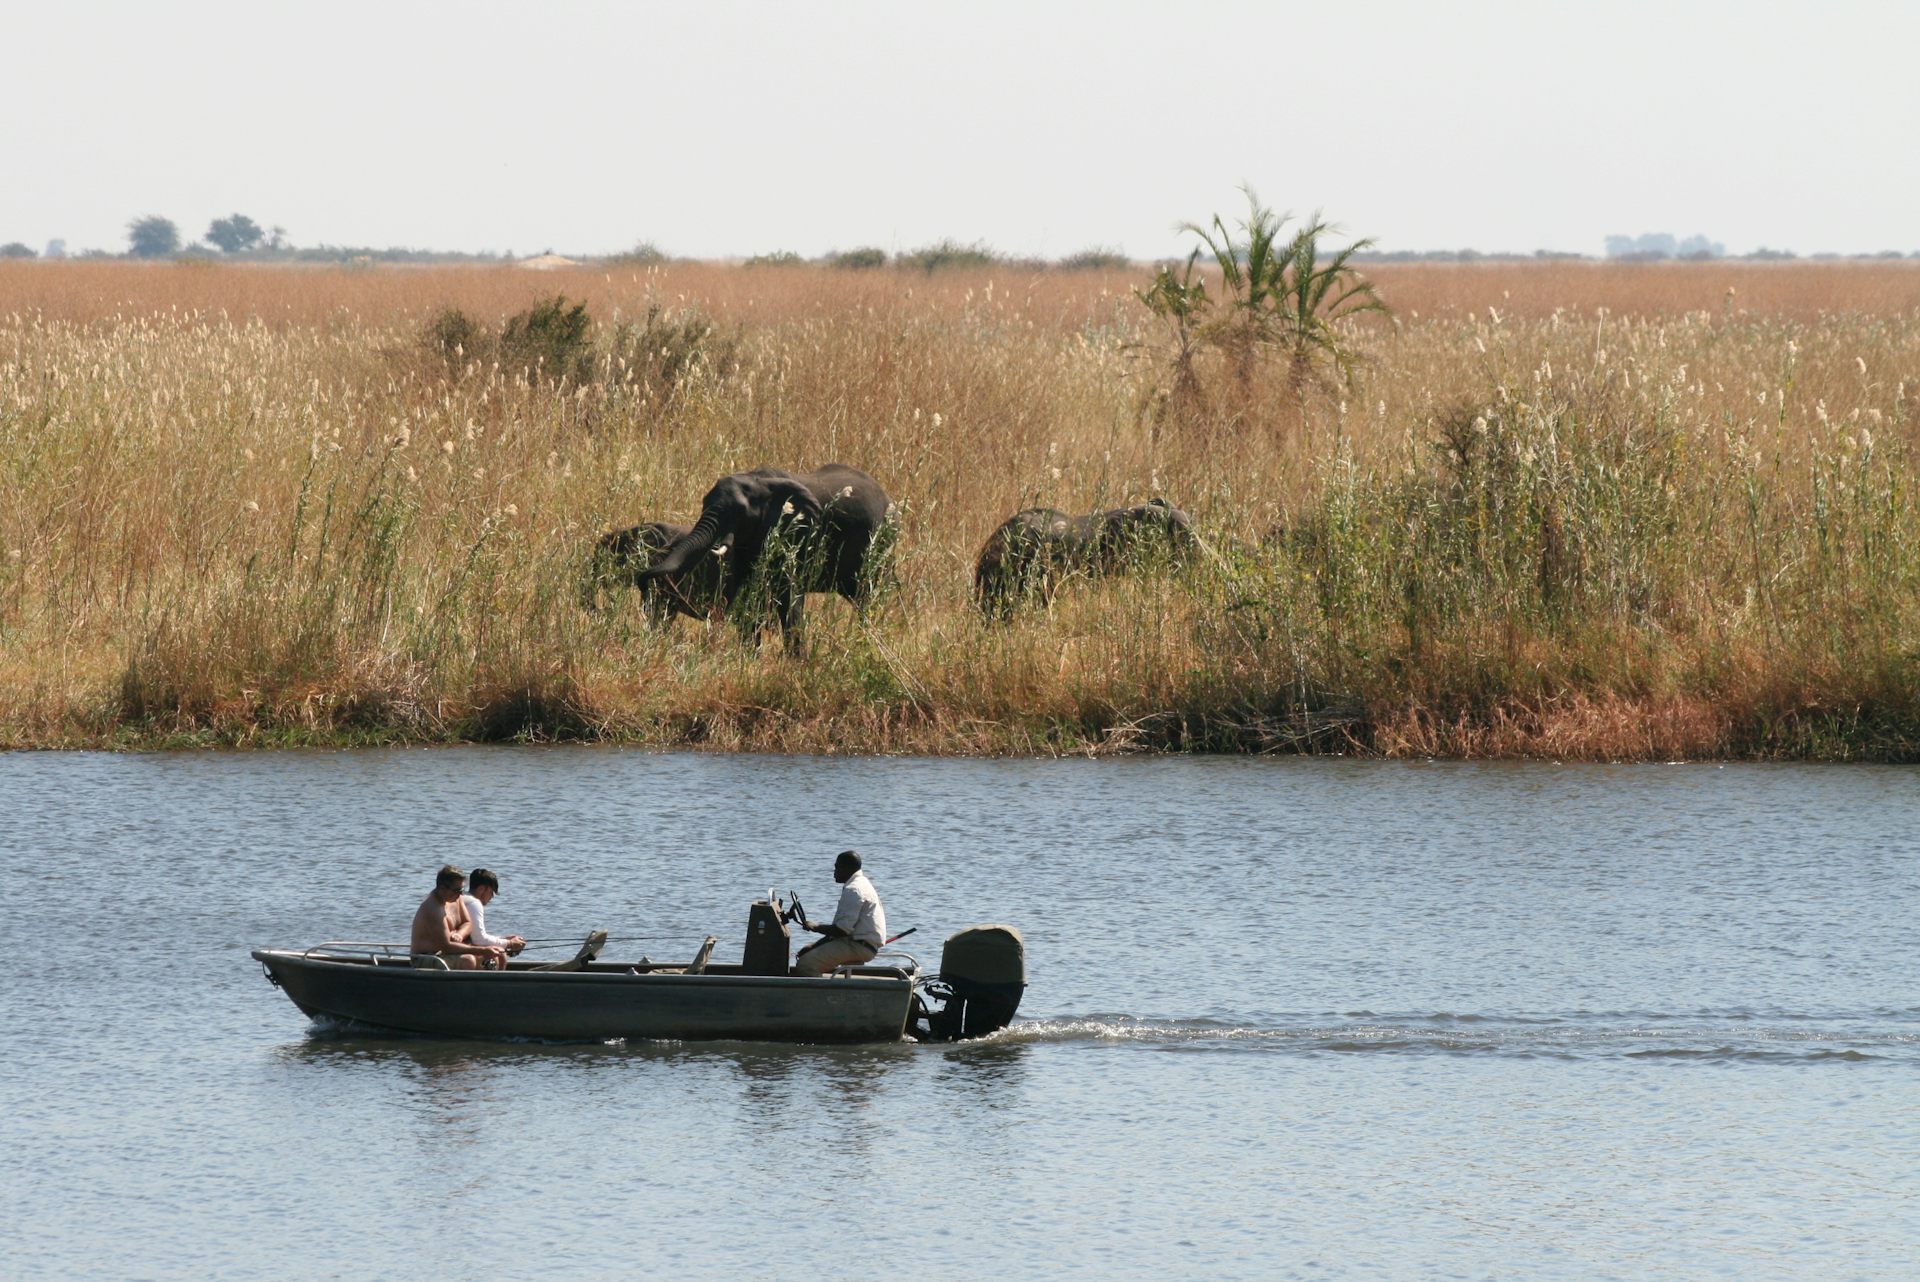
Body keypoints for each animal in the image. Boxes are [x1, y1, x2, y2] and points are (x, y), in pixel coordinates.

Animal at [634, 463, 894, 648]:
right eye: (704, 502)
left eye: (739, 511)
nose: (644, 580)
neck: (757, 481)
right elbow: (748, 594)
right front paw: (749, 659)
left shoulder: (793, 534)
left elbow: (790, 597)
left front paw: (795, 665)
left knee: (866, 596)